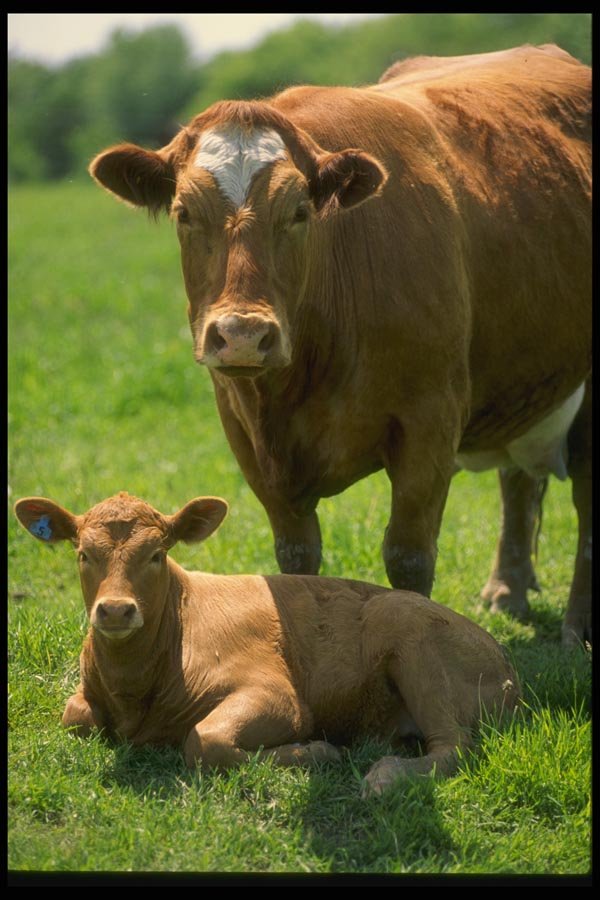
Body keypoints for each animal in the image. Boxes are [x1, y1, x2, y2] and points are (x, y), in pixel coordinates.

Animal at [14, 492, 520, 795]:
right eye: (83, 554)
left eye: (157, 555)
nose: (117, 610)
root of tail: (503, 660)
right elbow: (75, 716)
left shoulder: (278, 693)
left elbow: (204, 741)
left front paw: (316, 752)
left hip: (408, 628)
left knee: (454, 745)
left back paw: (384, 775)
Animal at [88, 44, 591, 648]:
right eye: (184, 213)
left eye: (300, 211)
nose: (242, 334)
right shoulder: (249, 438)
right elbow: (297, 557)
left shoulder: (429, 423)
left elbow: (408, 558)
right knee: (517, 480)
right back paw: (507, 591)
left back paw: (578, 630)